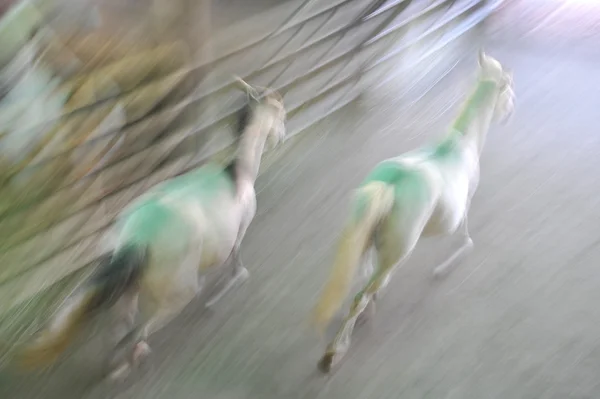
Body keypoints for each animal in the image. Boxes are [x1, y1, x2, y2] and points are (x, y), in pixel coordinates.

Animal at [19, 77, 288, 382]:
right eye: (281, 111)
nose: (281, 136)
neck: (238, 174)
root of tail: (135, 238)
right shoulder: (239, 231)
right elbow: (236, 259)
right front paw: (234, 280)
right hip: (177, 293)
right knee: (137, 333)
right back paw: (132, 358)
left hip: (128, 293)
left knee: (119, 330)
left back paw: (115, 366)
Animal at [312, 50, 512, 376]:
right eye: (509, 88)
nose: (510, 112)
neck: (462, 143)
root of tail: (390, 185)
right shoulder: (466, 205)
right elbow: (466, 239)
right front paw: (444, 267)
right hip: (397, 253)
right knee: (361, 294)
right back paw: (333, 353)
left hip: (368, 242)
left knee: (362, 279)